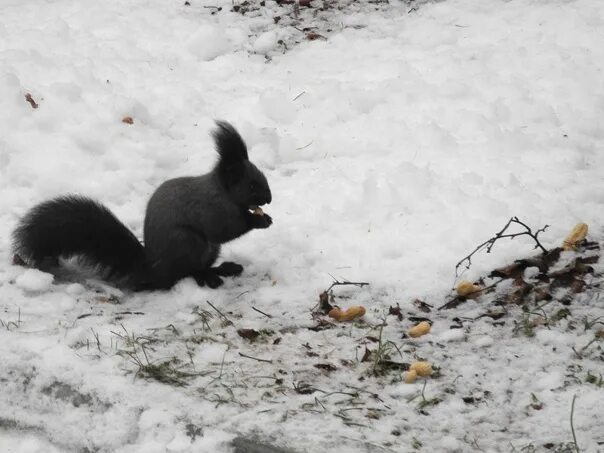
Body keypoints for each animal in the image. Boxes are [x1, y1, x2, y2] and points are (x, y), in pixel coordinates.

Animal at [11, 120, 272, 290]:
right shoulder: (210, 208)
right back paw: (207, 277)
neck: (222, 191)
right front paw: (259, 220)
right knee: (185, 273)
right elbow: (224, 229)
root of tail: (152, 270)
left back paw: (223, 269)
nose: (269, 198)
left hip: (209, 249)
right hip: (187, 242)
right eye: (251, 185)